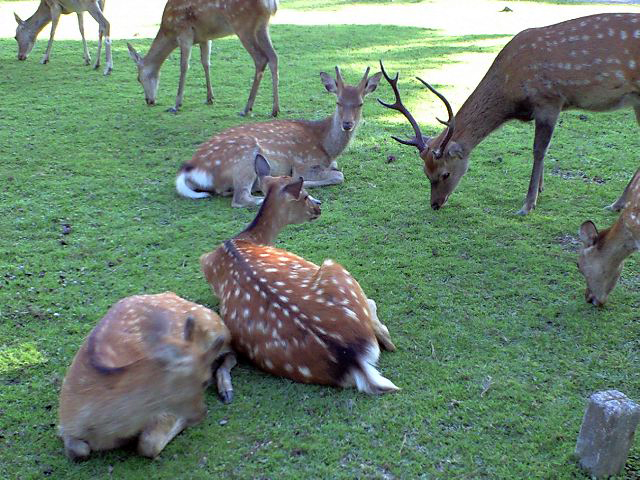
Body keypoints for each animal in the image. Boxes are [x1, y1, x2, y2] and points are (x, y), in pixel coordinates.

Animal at [58, 292, 236, 460]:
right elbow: (78, 451)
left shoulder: (164, 409)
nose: (202, 413)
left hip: (218, 328)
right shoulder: (65, 425)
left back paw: (226, 391)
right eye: (203, 382)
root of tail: (171, 294)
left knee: (232, 354)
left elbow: (148, 444)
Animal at [126, 0, 279, 115]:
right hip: (262, 26)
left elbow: (184, 66)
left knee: (261, 58)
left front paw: (176, 105)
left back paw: (246, 109)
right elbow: (206, 63)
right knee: (273, 57)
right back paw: (275, 110)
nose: (148, 101)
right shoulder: (205, 38)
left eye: (138, 78)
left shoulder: (184, 33)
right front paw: (210, 98)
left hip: (243, 26)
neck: (169, 33)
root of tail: (270, 3)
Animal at [175, 66, 382, 207]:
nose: (347, 124)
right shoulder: (303, 163)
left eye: (360, 104)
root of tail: (190, 169)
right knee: (241, 198)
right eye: (338, 102)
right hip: (244, 157)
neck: (327, 147)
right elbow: (339, 176)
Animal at [200, 154, 398, 394]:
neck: (242, 240)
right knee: (380, 324)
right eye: (304, 195)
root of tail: (353, 361)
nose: (319, 206)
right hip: (334, 267)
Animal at [378, 12, 640, 215]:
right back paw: (619, 204)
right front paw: (540, 190)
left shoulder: (549, 100)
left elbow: (539, 150)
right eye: (425, 172)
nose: (435, 204)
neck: (511, 92)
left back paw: (616, 204)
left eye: (444, 174)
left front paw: (528, 204)